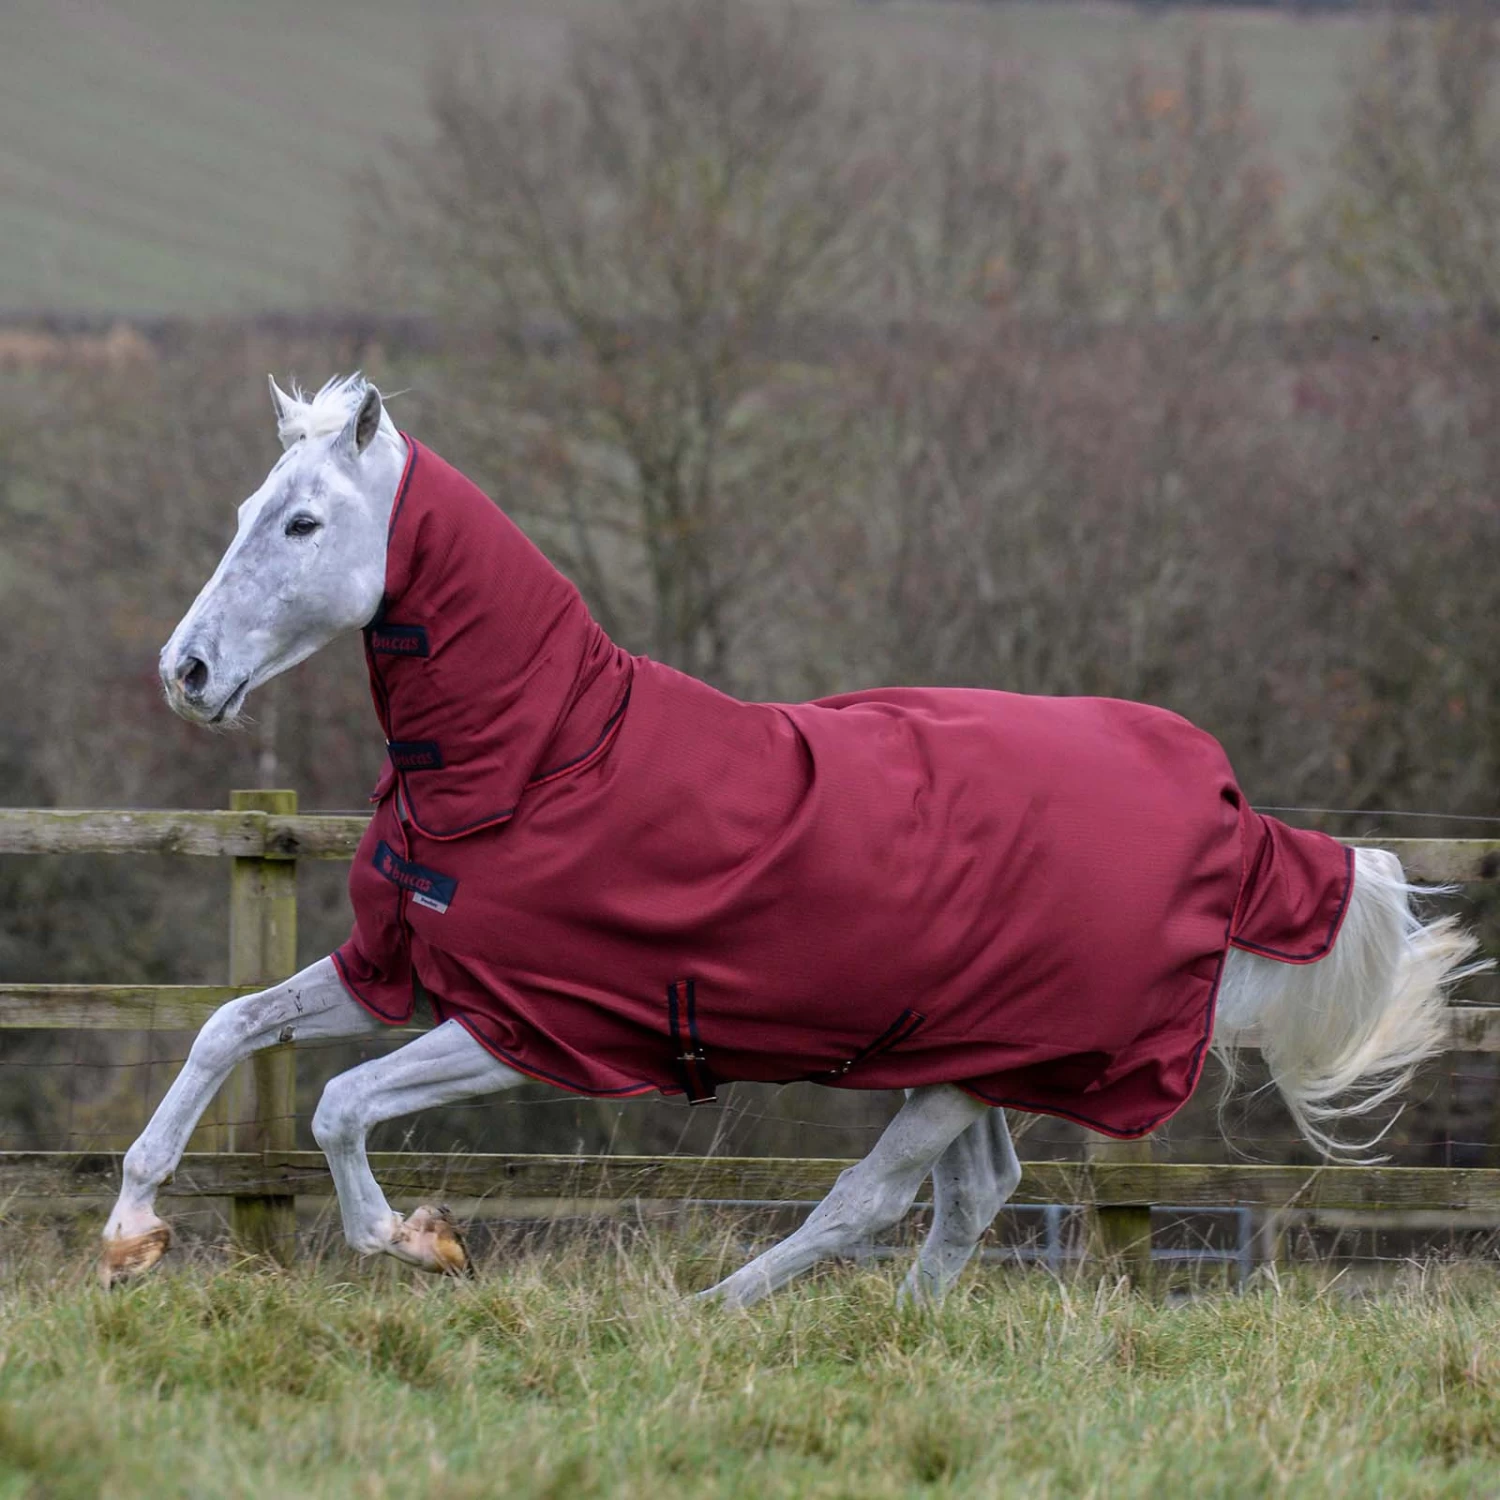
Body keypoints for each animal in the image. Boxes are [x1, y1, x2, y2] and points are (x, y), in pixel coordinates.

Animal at [101, 375, 1480, 1300]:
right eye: (251, 505)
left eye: (303, 524)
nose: (185, 671)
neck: (541, 760)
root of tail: (1223, 809)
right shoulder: (394, 971)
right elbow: (230, 1027)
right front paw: (130, 1233)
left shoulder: (532, 1026)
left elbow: (336, 1105)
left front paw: (414, 1240)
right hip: (965, 1053)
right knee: (972, 1197)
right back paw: (907, 1332)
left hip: (967, 1065)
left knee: (871, 1199)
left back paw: (713, 1314)